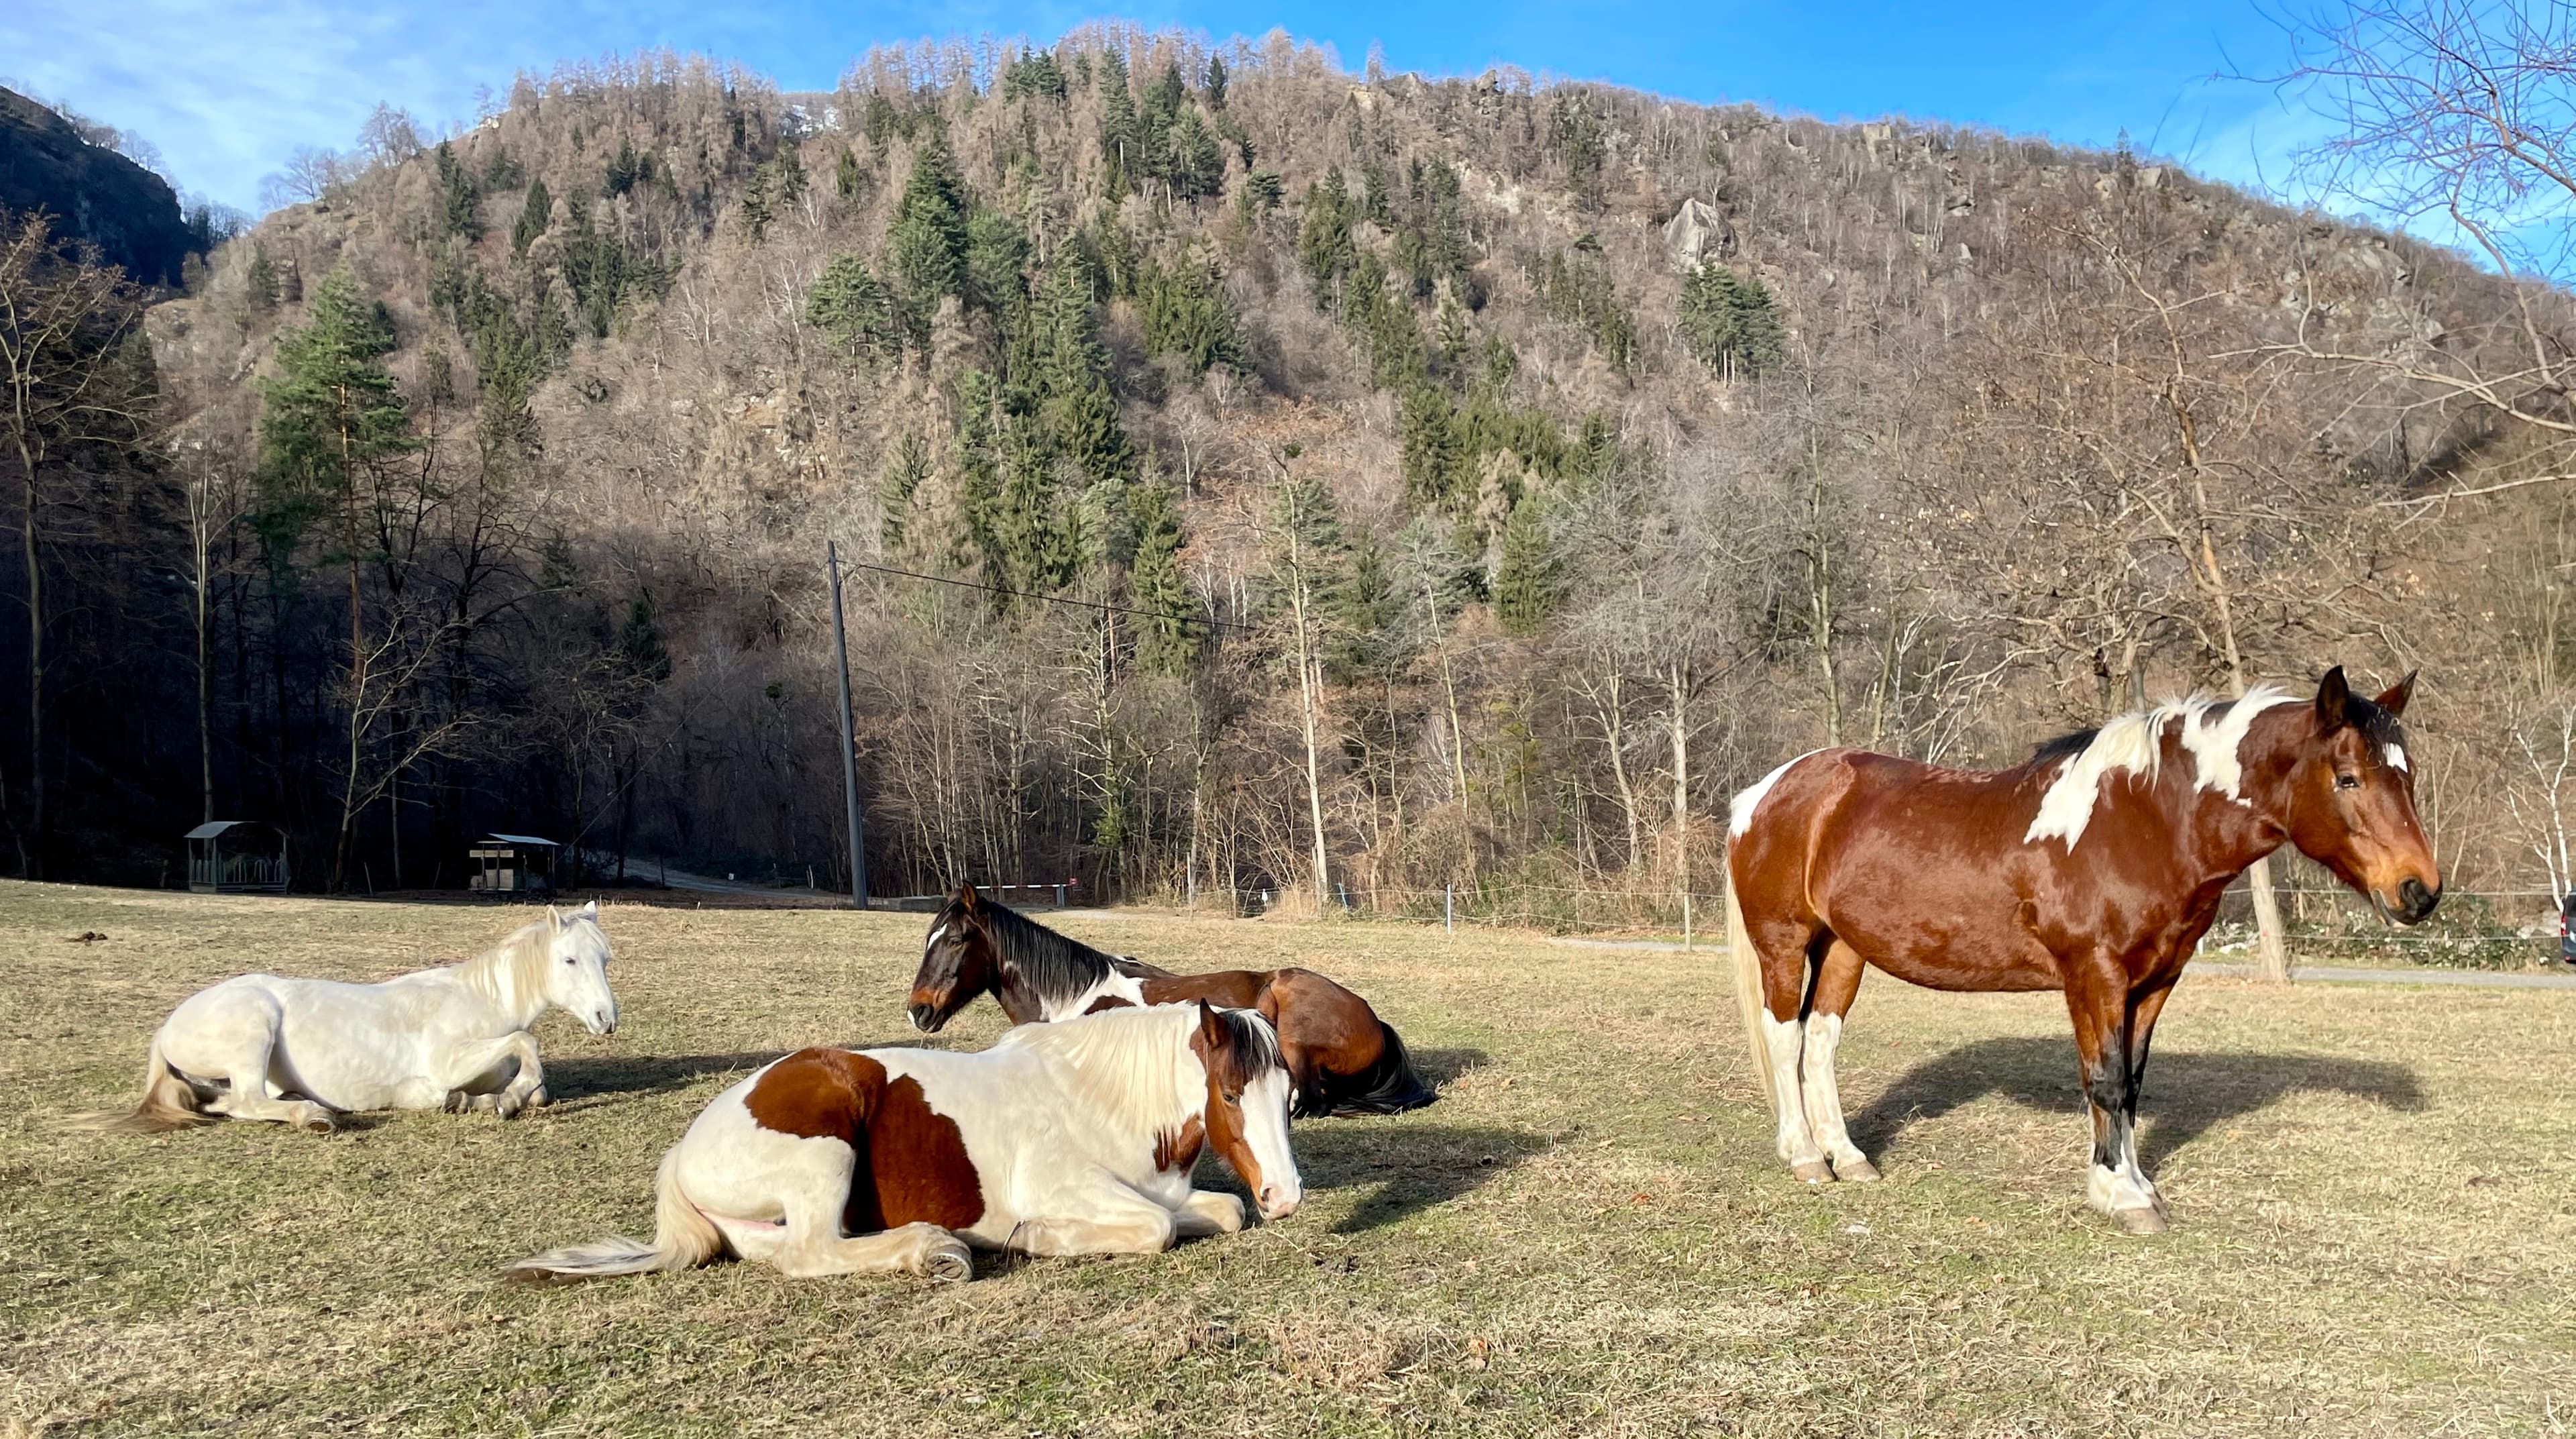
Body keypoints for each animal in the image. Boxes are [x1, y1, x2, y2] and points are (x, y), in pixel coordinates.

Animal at [75, 902, 617, 1135]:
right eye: (570, 960)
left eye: (606, 959)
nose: (606, 1018)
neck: (480, 999)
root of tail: (168, 1027)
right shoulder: (449, 1061)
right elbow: (526, 1044)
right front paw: (502, 1103)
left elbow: (536, 1086)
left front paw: (486, 1100)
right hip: (254, 1026)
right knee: (246, 1102)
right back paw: (314, 1116)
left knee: (224, 1101)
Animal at [505, 1000, 1299, 1284]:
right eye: (1232, 1094)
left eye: (1290, 1097)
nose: (1286, 1197)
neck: (1097, 1100)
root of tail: (687, 1145)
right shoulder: (1071, 1187)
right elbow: (1156, 1227)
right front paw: (1032, 1236)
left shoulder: (1171, 1190)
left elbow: (1221, 1212)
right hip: (824, 1150)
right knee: (810, 1255)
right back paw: (936, 1248)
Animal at [904, 884, 1437, 1119]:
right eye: (927, 938)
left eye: (955, 941)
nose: (918, 1009)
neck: (1071, 1001)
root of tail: (1374, 1019)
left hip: (1287, 1019)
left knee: (1309, 1098)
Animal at [1724, 667, 2439, 1233]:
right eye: (2347, 778)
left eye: (2406, 778)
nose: (2420, 891)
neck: (2146, 821)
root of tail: (1766, 792)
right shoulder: (2095, 974)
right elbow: (2107, 1079)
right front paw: (2122, 1195)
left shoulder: (2155, 980)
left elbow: (2132, 1081)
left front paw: (2135, 1183)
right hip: (1785, 942)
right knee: (1786, 1036)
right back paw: (1806, 1158)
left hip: (1845, 949)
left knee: (1821, 1041)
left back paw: (1848, 1158)